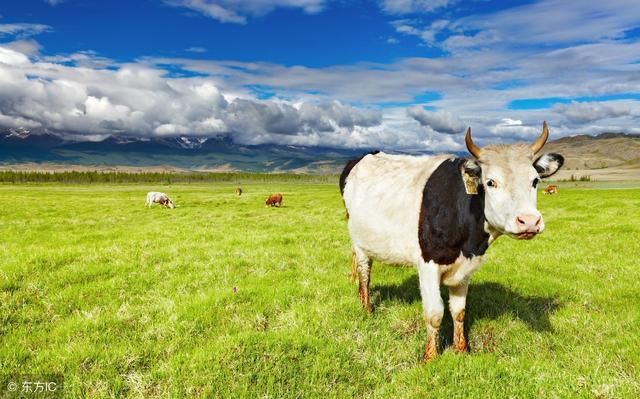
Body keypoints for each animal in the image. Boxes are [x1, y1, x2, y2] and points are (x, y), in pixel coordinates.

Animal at [338, 122, 564, 362]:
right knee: (364, 275)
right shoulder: (427, 264)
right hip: (359, 245)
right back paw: (367, 309)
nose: (529, 221)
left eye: (535, 181)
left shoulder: (465, 267)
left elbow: (459, 311)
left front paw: (461, 349)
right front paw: (430, 357)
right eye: (490, 182)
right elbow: (435, 313)